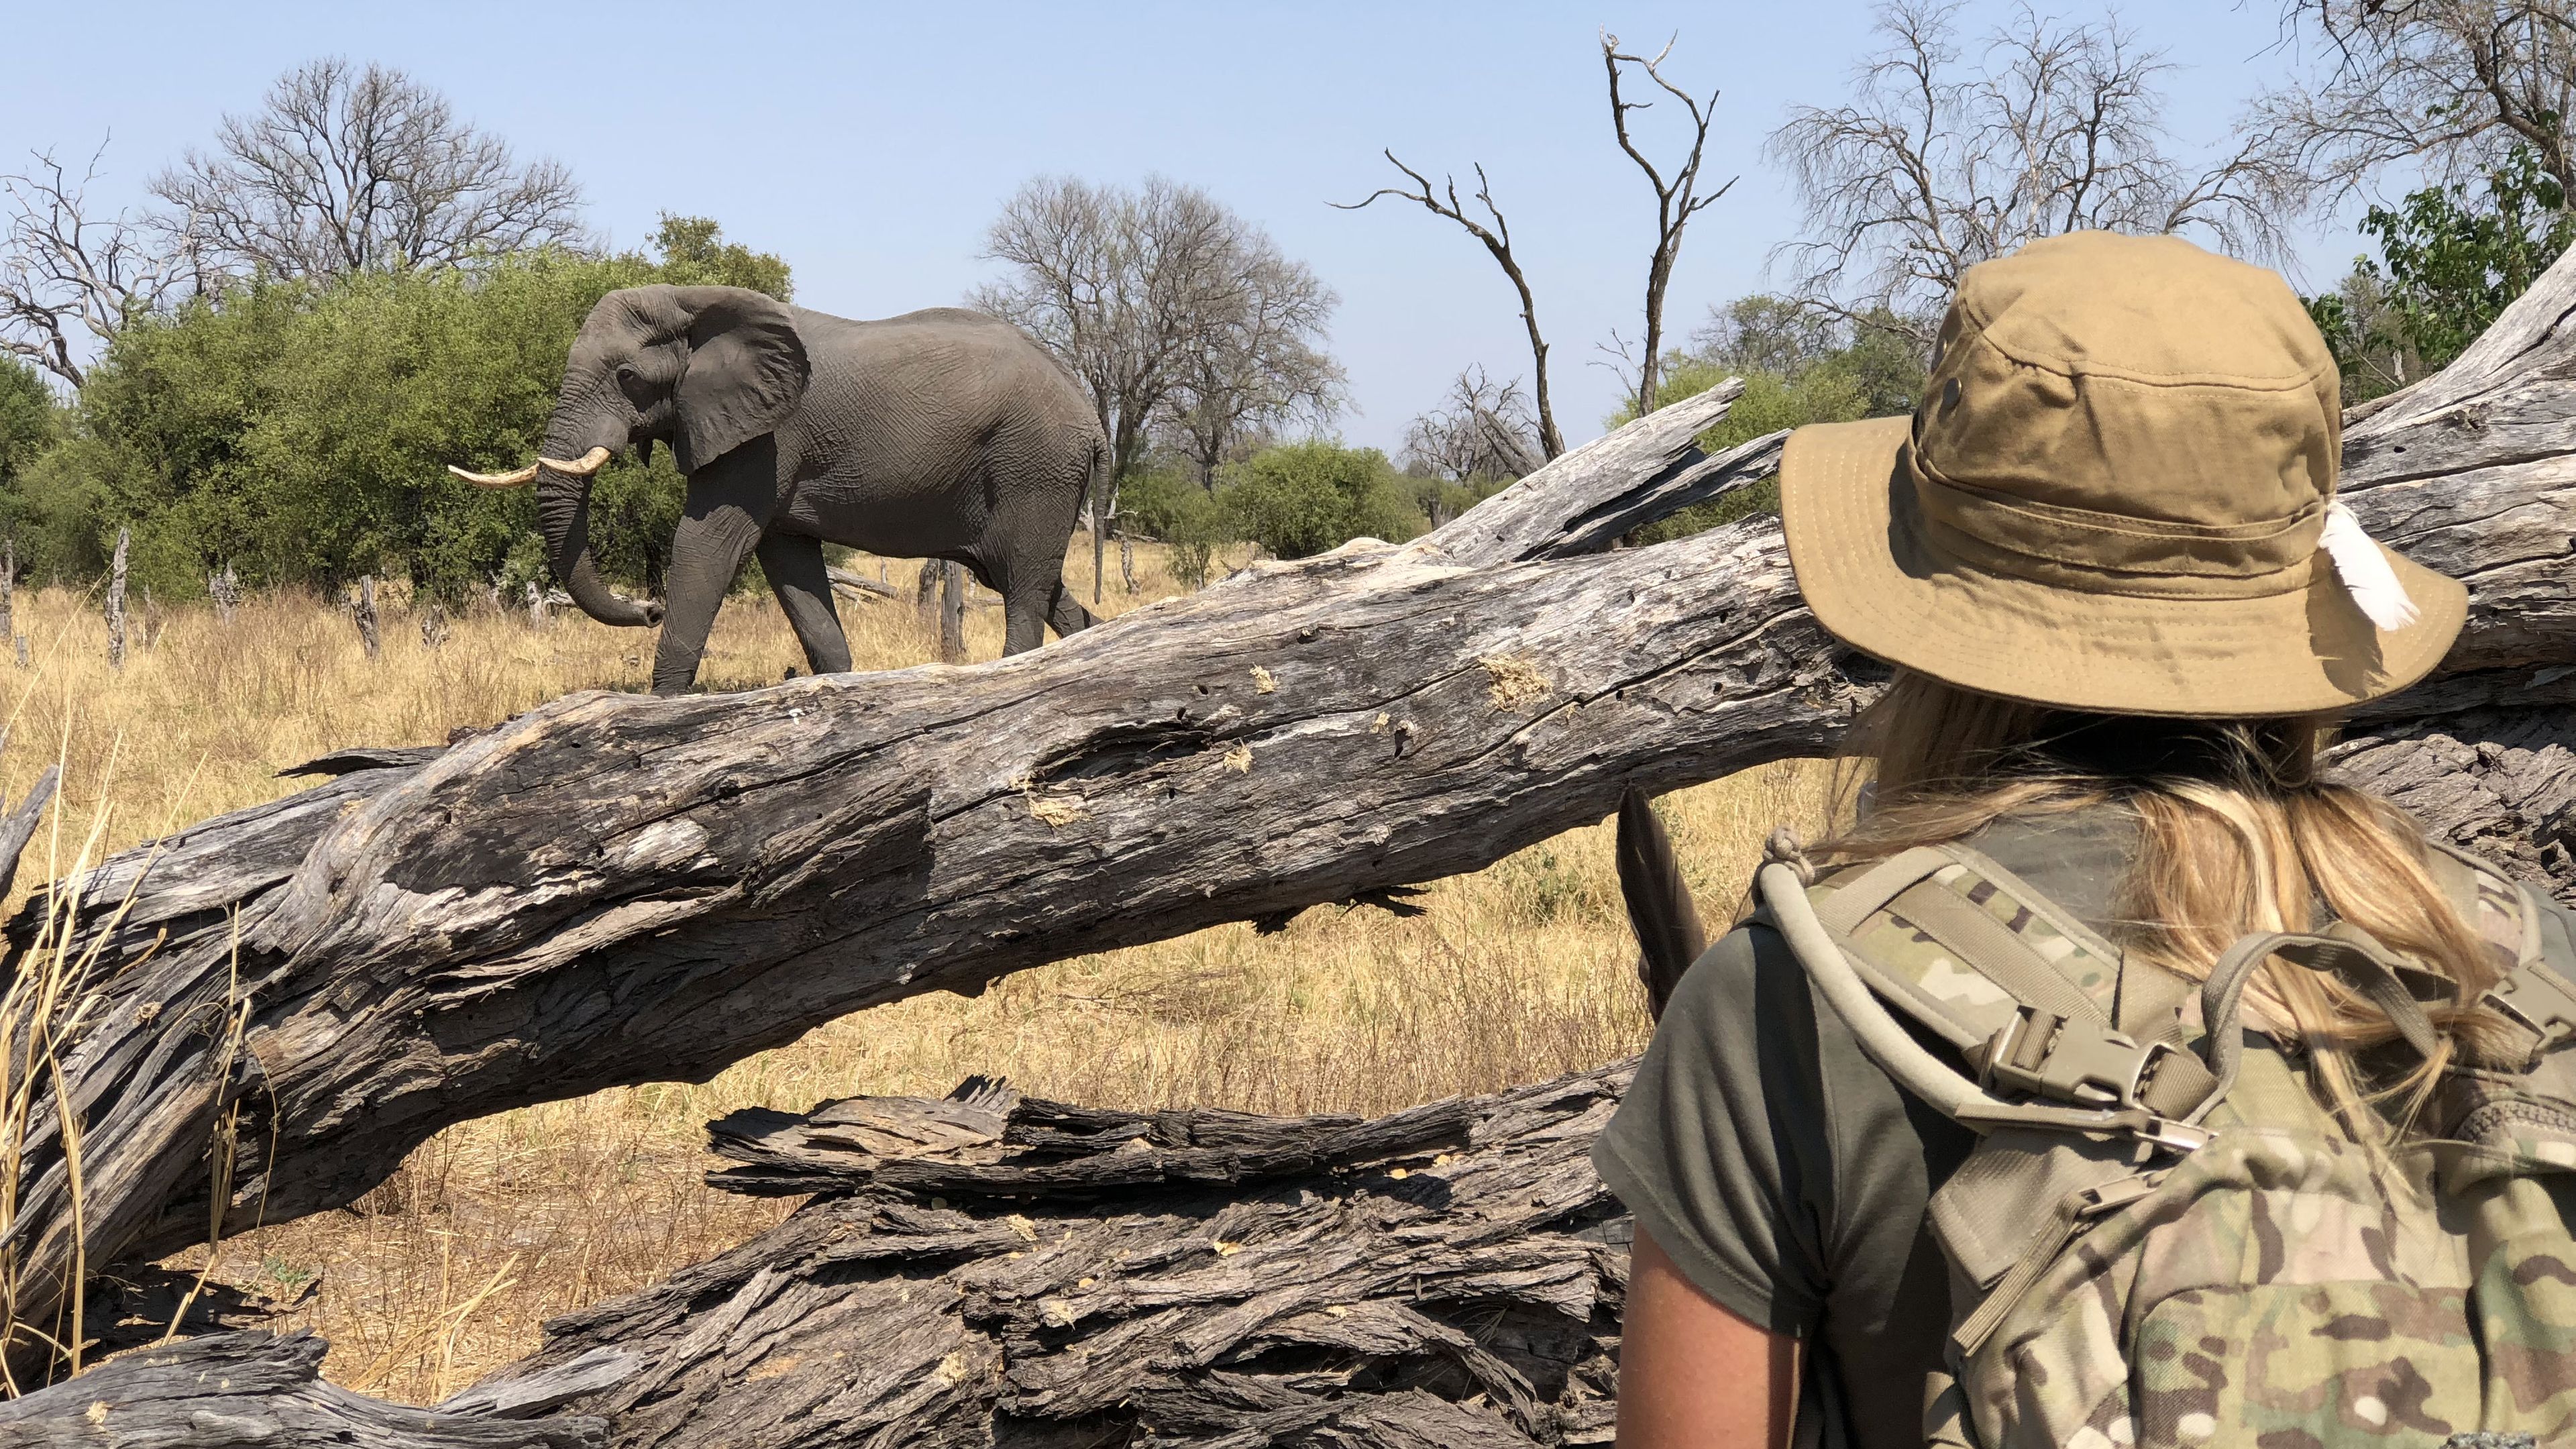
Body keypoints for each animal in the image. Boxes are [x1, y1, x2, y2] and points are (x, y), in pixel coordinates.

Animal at [453, 286, 1108, 696]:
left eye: (627, 377)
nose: (647, 608)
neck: (693, 299)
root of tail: (1092, 417)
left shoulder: (764, 439)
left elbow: (707, 543)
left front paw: (661, 707)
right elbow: (788, 562)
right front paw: (835, 688)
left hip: (1034, 468)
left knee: (1022, 589)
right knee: (1035, 583)